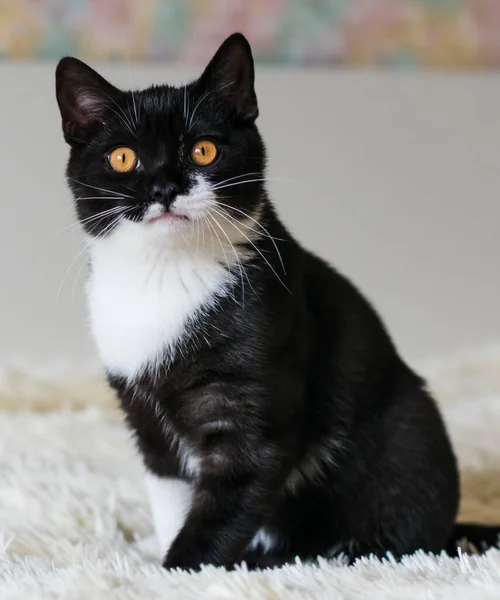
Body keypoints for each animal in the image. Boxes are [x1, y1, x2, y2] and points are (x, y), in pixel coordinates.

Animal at [53, 34, 496, 572]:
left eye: (203, 150)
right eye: (122, 158)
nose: (164, 187)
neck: (164, 277)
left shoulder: (256, 388)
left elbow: (230, 499)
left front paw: (175, 573)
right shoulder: (142, 413)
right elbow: (171, 491)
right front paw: (159, 558)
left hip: (407, 432)